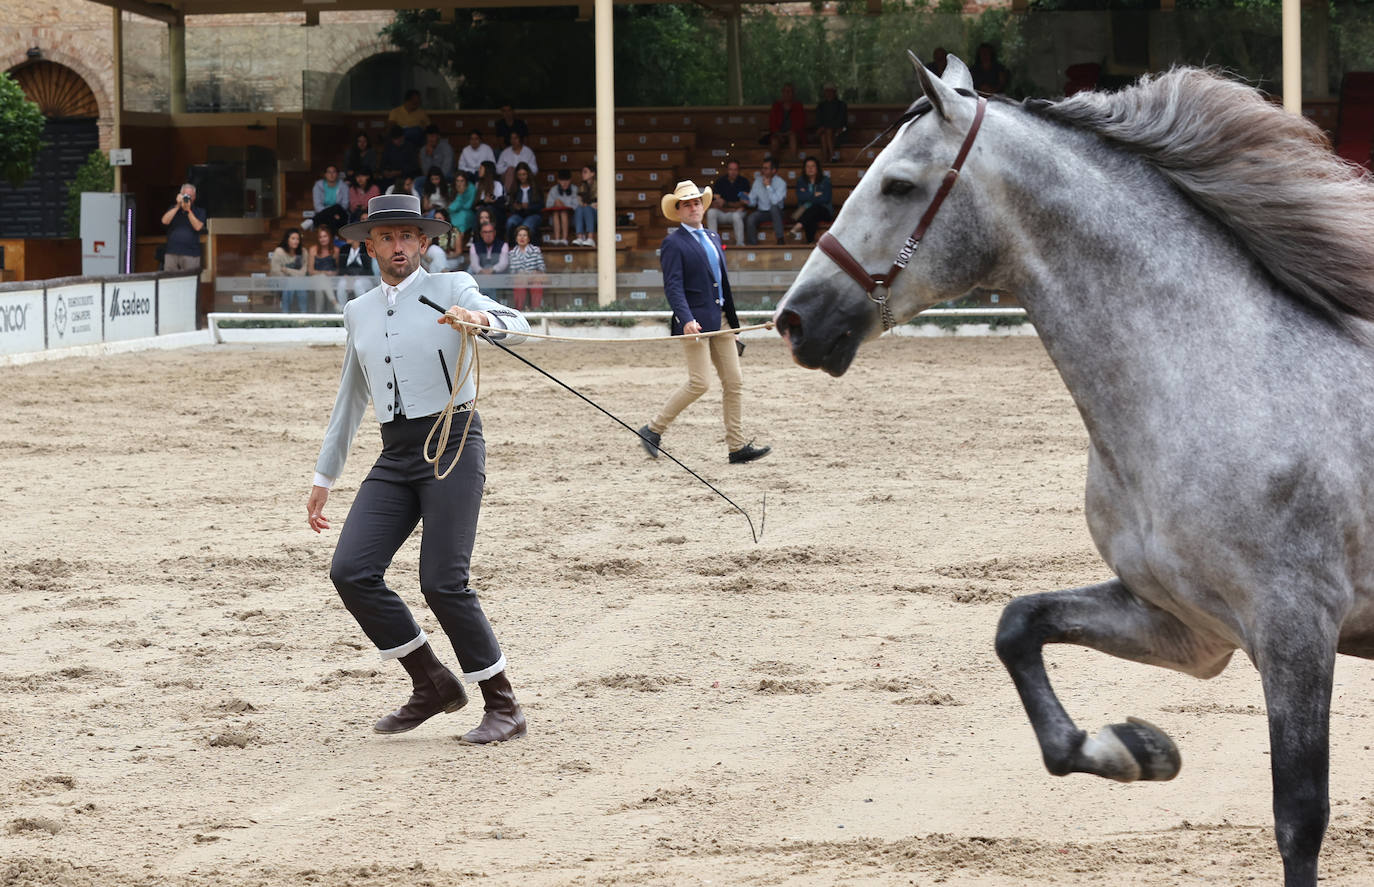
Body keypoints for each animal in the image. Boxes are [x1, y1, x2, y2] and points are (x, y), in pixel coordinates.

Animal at [774, 55, 1374, 887]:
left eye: (897, 184)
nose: (796, 320)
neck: (1220, 376)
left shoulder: (1295, 633)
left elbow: (1299, 818)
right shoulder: (1187, 626)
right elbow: (1018, 628)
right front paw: (1137, 748)